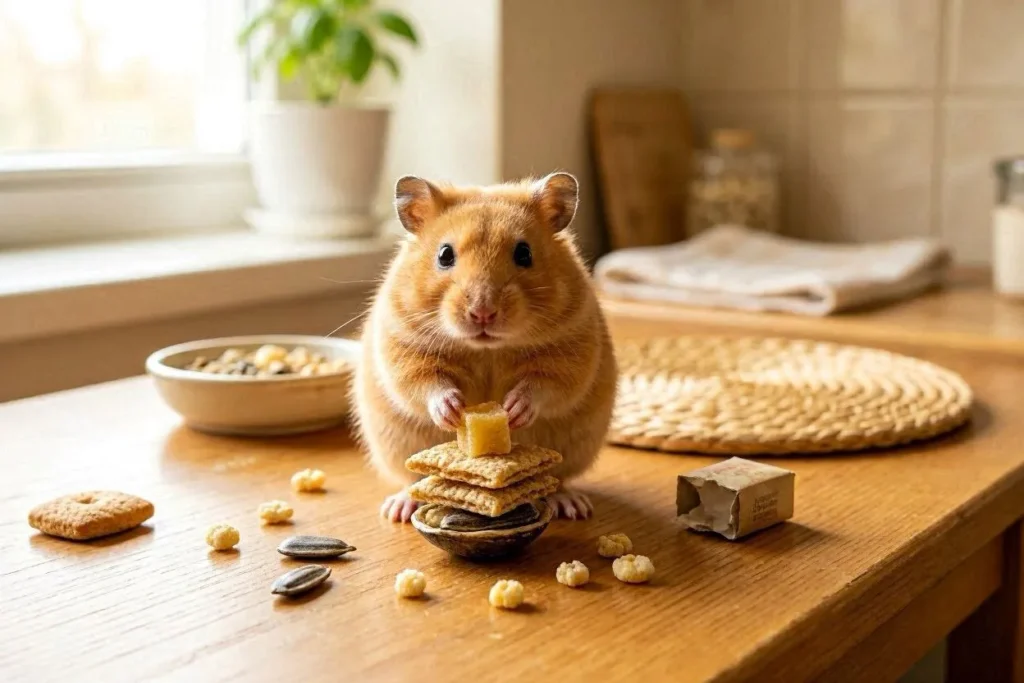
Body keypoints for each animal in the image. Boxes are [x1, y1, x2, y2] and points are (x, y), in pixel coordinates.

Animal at [353, 172, 618, 522]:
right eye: (445, 255)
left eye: (524, 253)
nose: (483, 312)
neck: (486, 349)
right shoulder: (403, 347)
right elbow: (426, 383)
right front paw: (452, 409)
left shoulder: (572, 349)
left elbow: (544, 385)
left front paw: (514, 409)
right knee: (414, 481)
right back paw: (397, 509)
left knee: (557, 481)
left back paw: (572, 507)